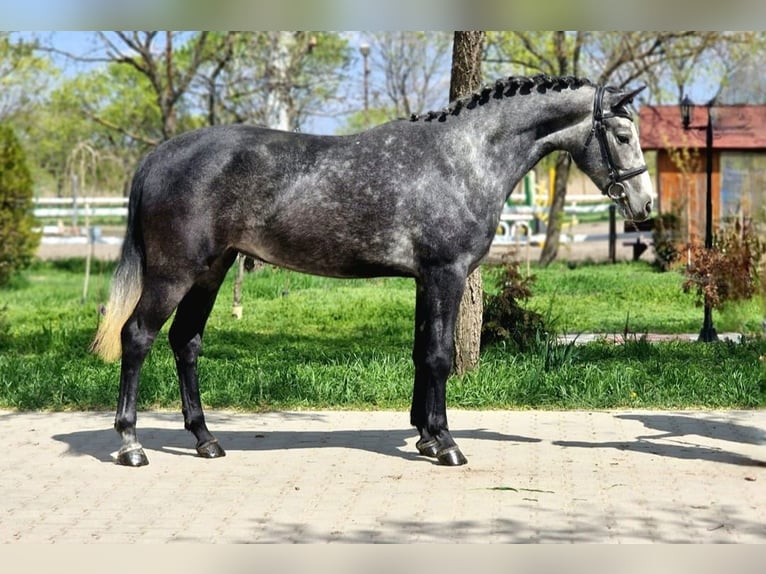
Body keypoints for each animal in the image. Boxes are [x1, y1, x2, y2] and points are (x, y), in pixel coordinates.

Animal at [92, 74, 654, 467]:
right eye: (623, 133)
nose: (645, 205)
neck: (463, 157)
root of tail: (159, 156)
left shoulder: (426, 280)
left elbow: (422, 354)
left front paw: (426, 437)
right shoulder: (446, 274)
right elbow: (440, 356)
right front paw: (447, 444)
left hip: (210, 271)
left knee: (185, 342)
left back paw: (206, 440)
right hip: (174, 274)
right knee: (137, 336)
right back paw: (132, 444)